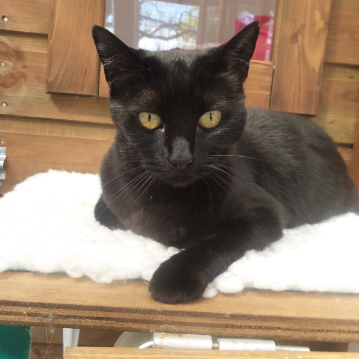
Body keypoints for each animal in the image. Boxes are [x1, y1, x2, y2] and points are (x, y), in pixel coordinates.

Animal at [92, 22, 358, 304]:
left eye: (211, 118)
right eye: (149, 118)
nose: (181, 158)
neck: (166, 198)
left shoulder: (265, 213)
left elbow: (215, 242)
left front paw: (174, 277)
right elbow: (104, 212)